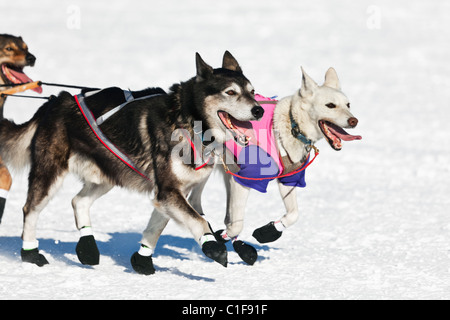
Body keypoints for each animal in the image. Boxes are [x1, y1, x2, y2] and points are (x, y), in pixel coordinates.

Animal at [0, 51, 264, 274]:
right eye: (230, 92)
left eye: (252, 91)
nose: (259, 110)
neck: (189, 122)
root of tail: (53, 101)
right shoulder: (169, 191)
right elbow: (198, 220)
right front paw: (213, 246)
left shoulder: (169, 194)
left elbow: (156, 228)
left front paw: (142, 260)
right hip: (50, 173)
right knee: (30, 210)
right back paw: (31, 253)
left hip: (108, 174)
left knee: (78, 201)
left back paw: (87, 247)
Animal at [190, 66, 362, 264]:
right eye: (330, 105)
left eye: (348, 105)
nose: (354, 121)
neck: (290, 126)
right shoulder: (243, 181)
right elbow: (236, 225)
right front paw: (221, 236)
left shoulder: (288, 179)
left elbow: (294, 214)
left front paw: (269, 231)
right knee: (194, 200)